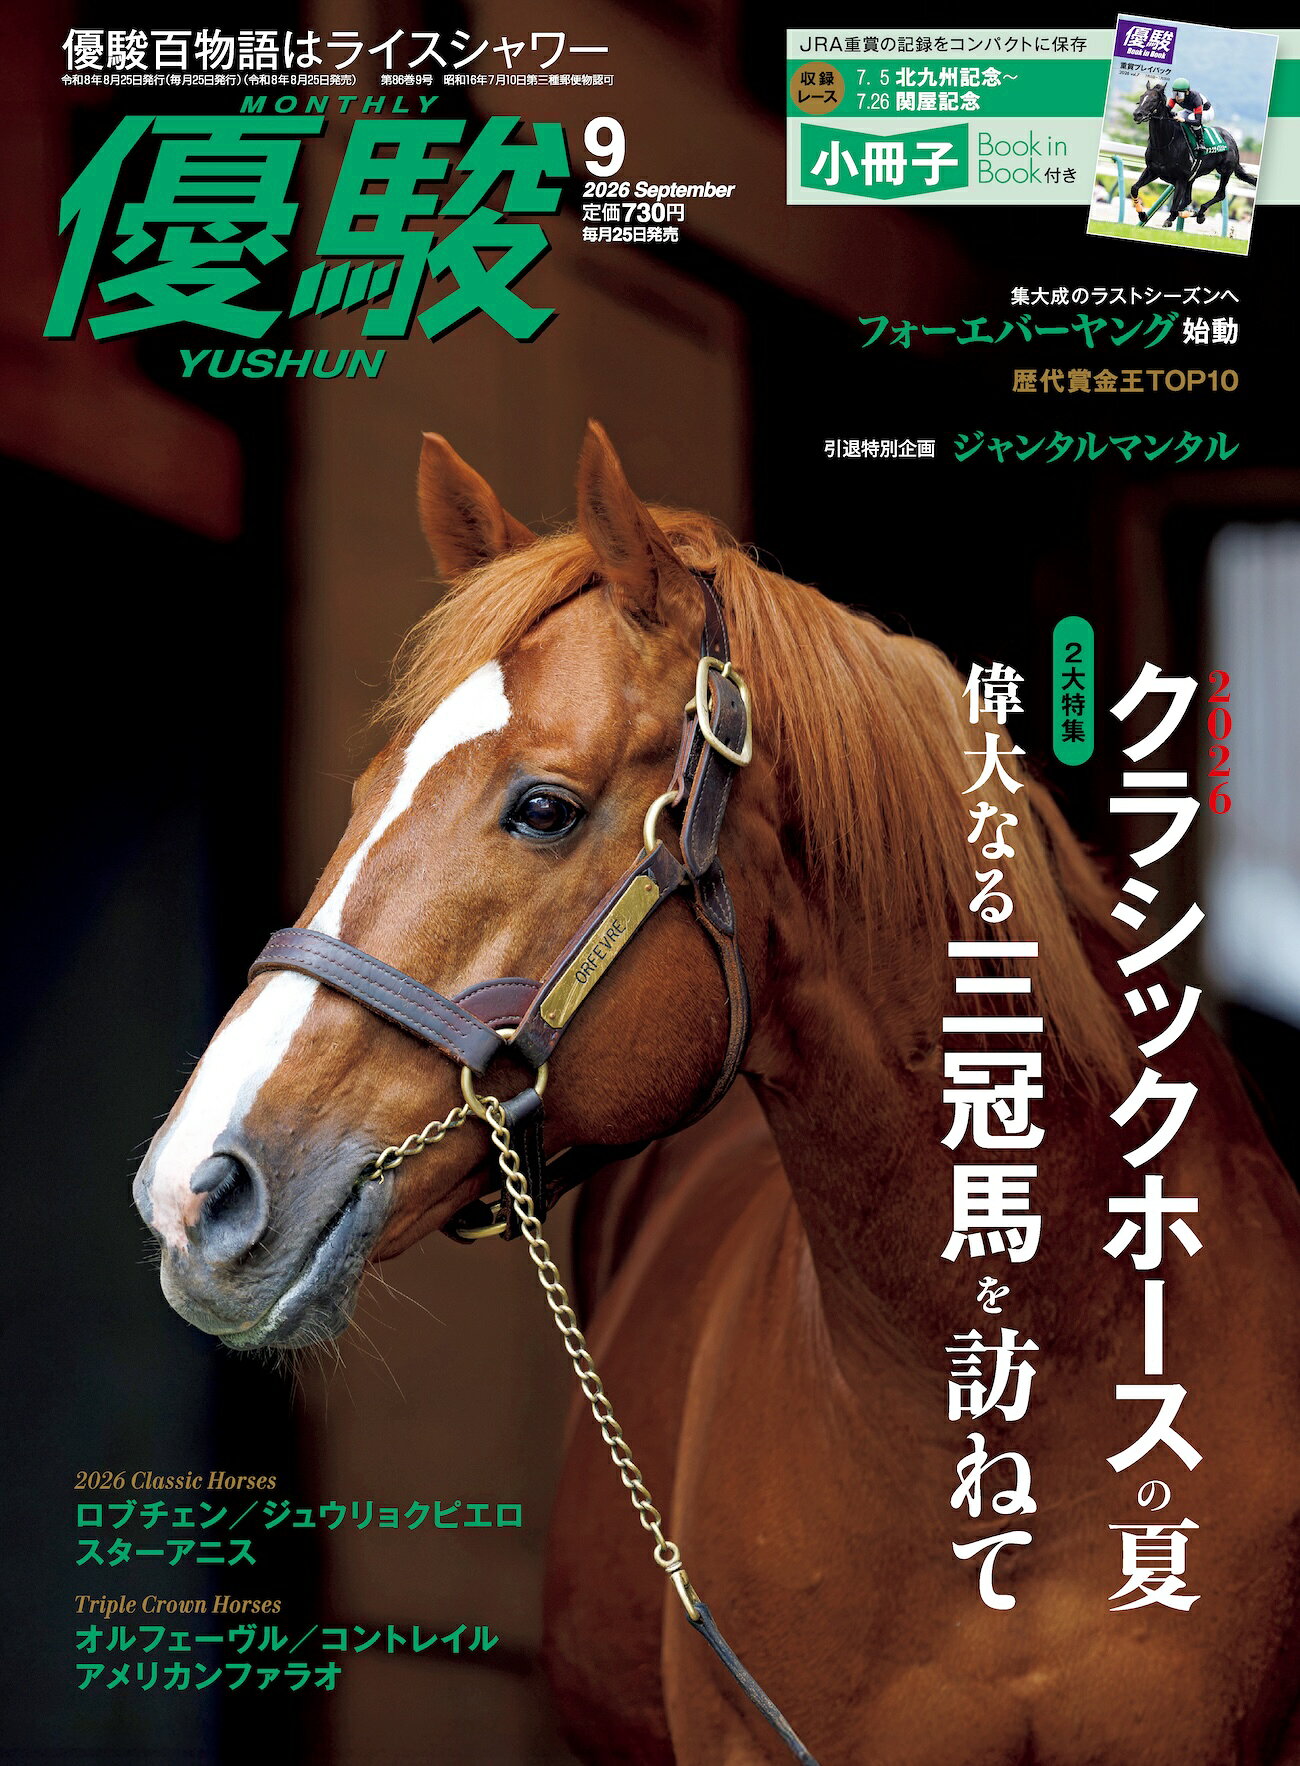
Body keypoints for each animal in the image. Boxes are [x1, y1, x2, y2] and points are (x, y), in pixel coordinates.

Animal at [1130, 81, 1258, 228]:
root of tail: (1232, 140)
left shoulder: (1181, 178)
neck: (1166, 142)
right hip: (1193, 177)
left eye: (1154, 99)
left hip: (1225, 170)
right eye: (1141, 97)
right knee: (1189, 199)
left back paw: (1199, 213)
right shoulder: (1152, 170)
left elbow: (1175, 206)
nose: (1137, 114)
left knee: (1220, 195)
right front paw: (1142, 214)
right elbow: (1134, 188)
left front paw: (1172, 218)